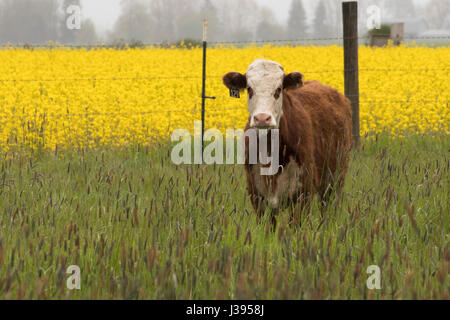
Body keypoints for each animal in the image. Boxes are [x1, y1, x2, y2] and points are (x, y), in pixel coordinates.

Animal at [223, 59, 354, 225]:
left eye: (279, 89)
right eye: (249, 88)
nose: (262, 118)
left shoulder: (303, 193)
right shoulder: (257, 194)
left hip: (335, 180)